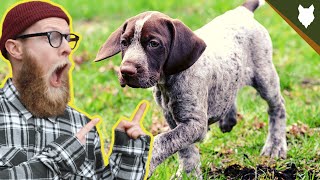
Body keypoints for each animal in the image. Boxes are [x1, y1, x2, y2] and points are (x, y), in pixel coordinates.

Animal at [94, 0, 286, 178]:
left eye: (154, 44)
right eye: (124, 42)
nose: (126, 71)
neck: (167, 82)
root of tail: (242, 11)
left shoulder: (194, 123)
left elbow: (163, 140)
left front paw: (147, 162)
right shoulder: (173, 118)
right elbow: (185, 149)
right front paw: (189, 173)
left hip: (264, 76)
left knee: (277, 107)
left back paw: (275, 146)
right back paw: (228, 119)